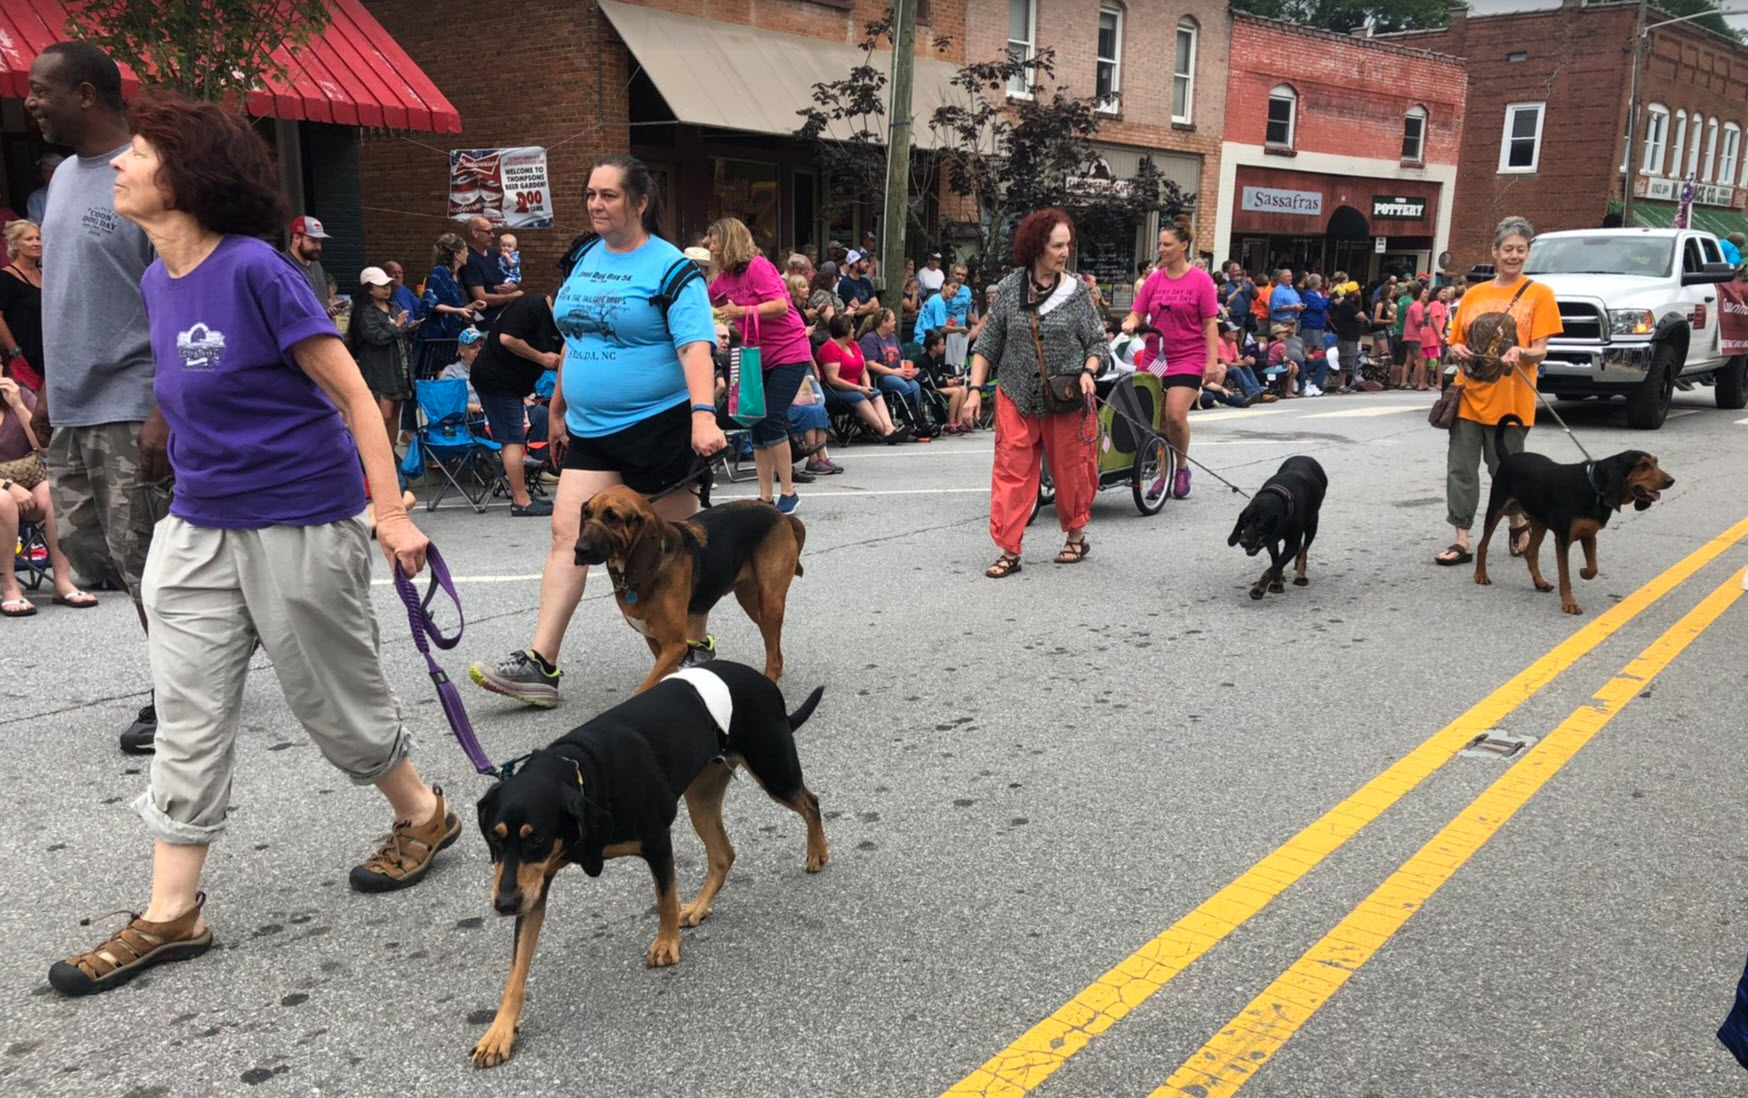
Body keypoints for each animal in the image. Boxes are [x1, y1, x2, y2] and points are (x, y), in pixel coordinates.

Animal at [580, 486, 811, 688]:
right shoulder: (656, 643)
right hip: (752, 602)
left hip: (770, 602)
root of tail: (782, 516)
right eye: (586, 513)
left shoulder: (674, 646)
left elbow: (644, 689)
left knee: (773, 654)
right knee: (773, 646)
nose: (579, 549)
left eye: (612, 517)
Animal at [1475, 414, 1678, 618]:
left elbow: (1593, 568)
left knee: (1531, 552)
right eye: (1643, 465)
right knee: (1482, 545)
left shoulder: (1589, 534)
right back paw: (1481, 575)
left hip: (1539, 522)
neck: (1594, 488)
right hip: (1496, 508)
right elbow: (1565, 576)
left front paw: (1584, 573)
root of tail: (1509, 457)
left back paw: (1540, 582)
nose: (1671, 480)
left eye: (1656, 462)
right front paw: (1569, 603)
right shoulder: (1563, 539)